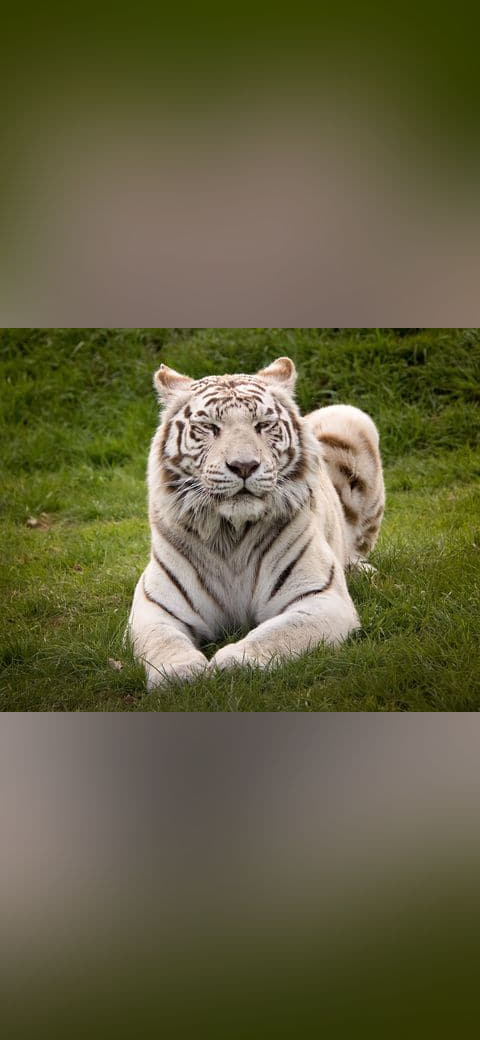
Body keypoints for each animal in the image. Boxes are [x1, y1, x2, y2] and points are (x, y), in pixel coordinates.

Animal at [128, 357, 385, 689]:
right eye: (210, 428)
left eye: (262, 425)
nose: (244, 466)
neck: (231, 534)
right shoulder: (155, 605)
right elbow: (162, 640)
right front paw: (179, 671)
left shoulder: (321, 598)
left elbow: (277, 634)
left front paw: (233, 660)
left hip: (349, 416)